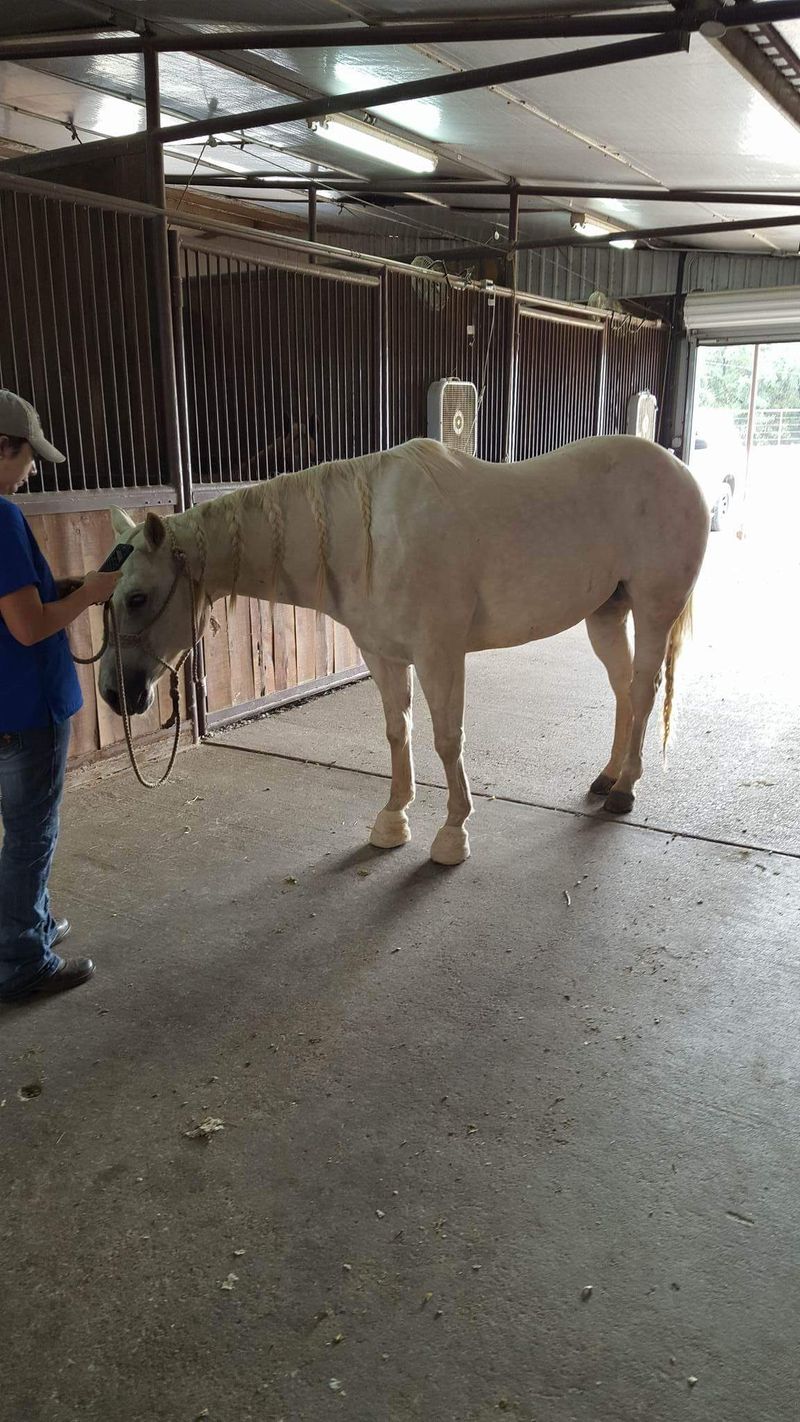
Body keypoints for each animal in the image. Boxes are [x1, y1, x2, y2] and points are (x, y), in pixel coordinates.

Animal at [99, 435, 709, 865]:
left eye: (137, 597)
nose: (114, 694)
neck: (368, 538)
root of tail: (678, 469)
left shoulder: (440, 654)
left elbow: (446, 738)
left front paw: (453, 834)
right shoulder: (385, 656)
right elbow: (399, 731)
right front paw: (393, 820)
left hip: (654, 610)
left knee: (644, 688)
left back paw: (625, 790)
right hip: (605, 613)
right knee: (624, 690)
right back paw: (606, 777)